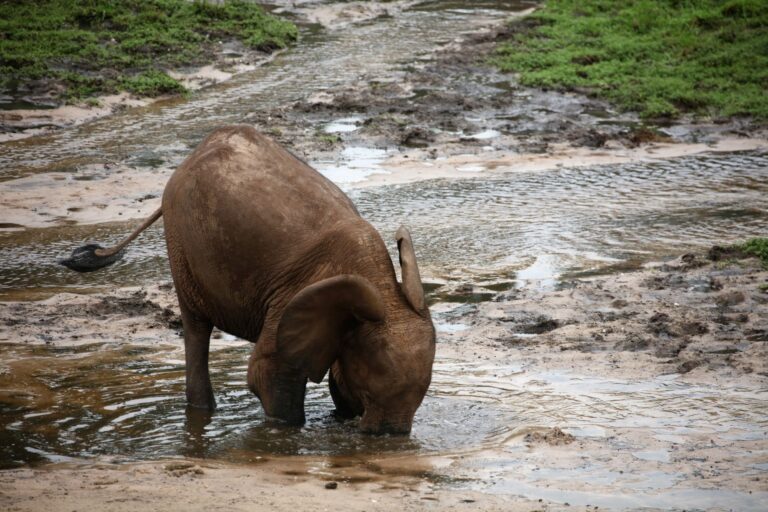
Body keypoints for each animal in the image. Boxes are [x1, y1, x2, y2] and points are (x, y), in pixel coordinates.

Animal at [63, 124, 436, 432]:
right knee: (196, 327)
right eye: (372, 388)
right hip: (182, 242)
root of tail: (192, 155)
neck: (381, 283)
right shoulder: (292, 298)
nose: (386, 439)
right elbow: (265, 374)